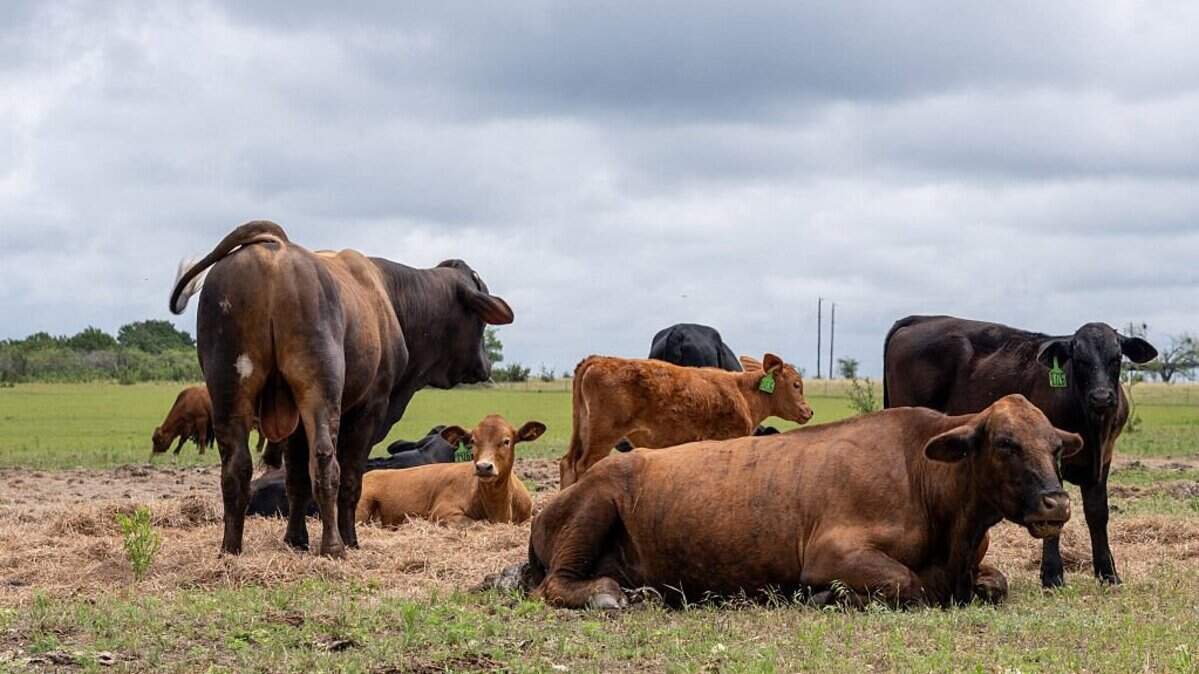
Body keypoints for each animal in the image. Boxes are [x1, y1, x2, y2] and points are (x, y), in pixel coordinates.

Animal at [168, 221, 513, 557]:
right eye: (481, 321)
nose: (486, 365)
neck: (390, 297)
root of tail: (274, 251)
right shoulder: (371, 408)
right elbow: (350, 479)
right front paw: (349, 540)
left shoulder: (293, 424)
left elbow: (296, 479)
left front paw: (295, 540)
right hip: (320, 388)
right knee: (325, 463)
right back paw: (334, 546)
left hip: (229, 388)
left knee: (236, 467)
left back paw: (231, 548)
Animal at [356, 415, 542, 527]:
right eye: (473, 441)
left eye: (506, 441)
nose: (483, 467)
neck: (499, 509)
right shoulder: (442, 512)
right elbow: (476, 523)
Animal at [516, 395, 1080, 610]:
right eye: (1005, 443)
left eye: (1056, 447)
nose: (1056, 503)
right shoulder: (832, 553)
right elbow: (907, 584)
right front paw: (829, 597)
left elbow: (997, 582)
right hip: (597, 502)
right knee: (555, 584)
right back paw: (607, 594)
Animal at [559, 353, 813, 488]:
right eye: (796, 384)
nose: (809, 412)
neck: (742, 392)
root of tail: (597, 360)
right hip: (603, 435)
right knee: (582, 466)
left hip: (583, 429)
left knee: (567, 464)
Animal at [883, 315, 1158, 588]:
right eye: (1079, 359)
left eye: (1117, 357)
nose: (1101, 397)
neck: (1090, 425)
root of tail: (920, 320)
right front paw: (1052, 575)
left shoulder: (1102, 459)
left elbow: (1098, 513)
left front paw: (1108, 573)